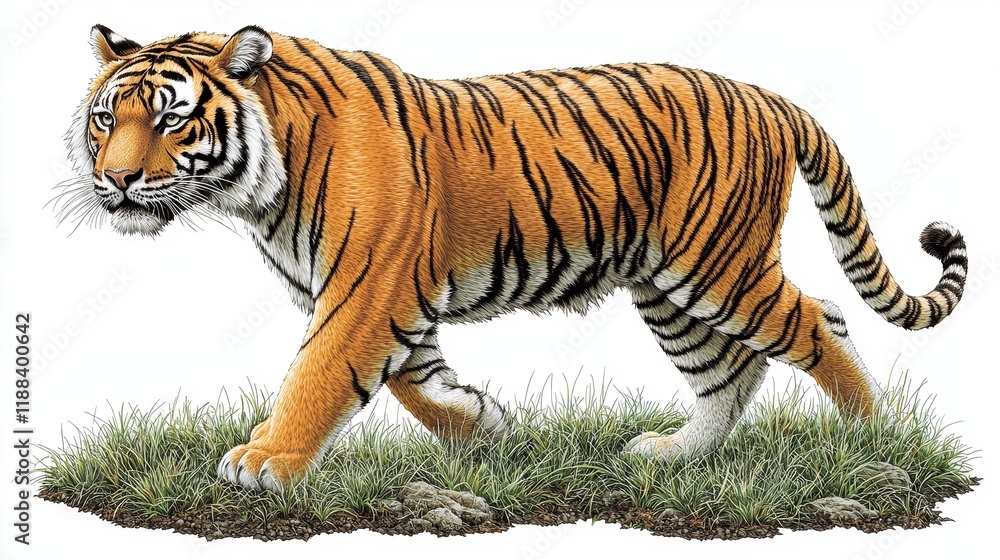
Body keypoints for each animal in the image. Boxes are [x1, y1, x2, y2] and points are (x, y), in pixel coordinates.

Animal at [62, 24, 968, 492]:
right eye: (107, 119)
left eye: (172, 118)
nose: (116, 181)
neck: (258, 186)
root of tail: (774, 99)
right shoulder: (387, 294)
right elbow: (413, 379)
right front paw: (483, 423)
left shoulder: (365, 288)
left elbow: (320, 372)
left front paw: (265, 460)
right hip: (669, 288)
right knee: (733, 370)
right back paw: (675, 454)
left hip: (719, 267)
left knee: (822, 322)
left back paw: (873, 440)